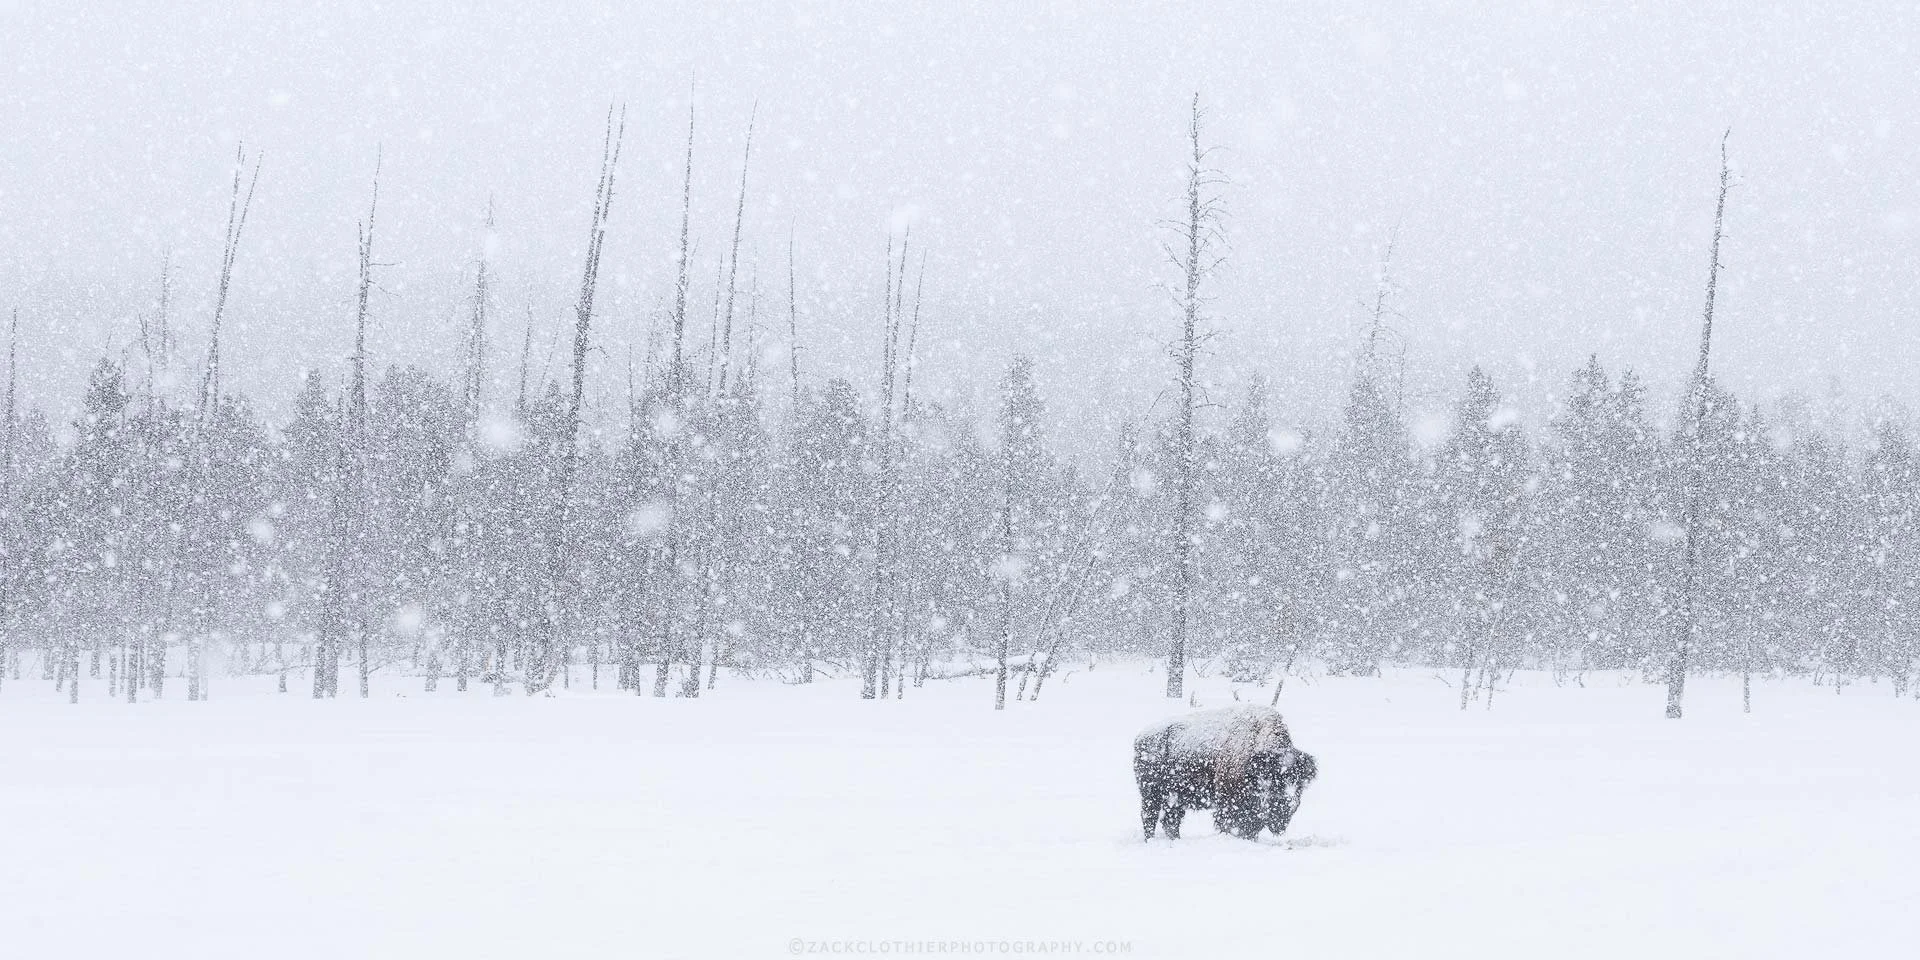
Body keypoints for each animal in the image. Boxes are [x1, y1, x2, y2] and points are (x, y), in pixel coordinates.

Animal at [1132, 705, 1318, 841]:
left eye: (1300, 783)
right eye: (1273, 778)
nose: (1287, 804)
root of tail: (1141, 736)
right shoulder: (1229, 805)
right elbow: (1232, 825)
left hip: (1174, 797)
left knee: (1170, 820)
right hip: (1151, 795)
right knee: (1149, 818)